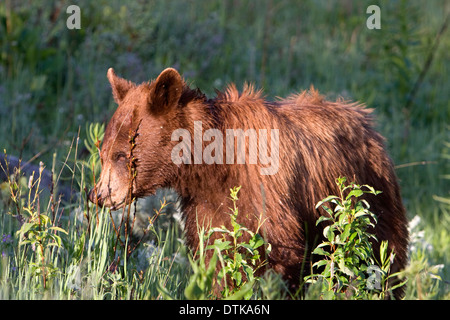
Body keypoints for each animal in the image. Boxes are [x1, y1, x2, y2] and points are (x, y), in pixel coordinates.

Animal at [89, 67, 410, 298]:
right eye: (103, 152)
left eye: (121, 154)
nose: (99, 195)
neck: (214, 165)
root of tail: (365, 118)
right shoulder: (206, 205)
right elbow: (216, 256)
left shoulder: (267, 194)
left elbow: (279, 255)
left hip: (369, 200)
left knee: (383, 261)